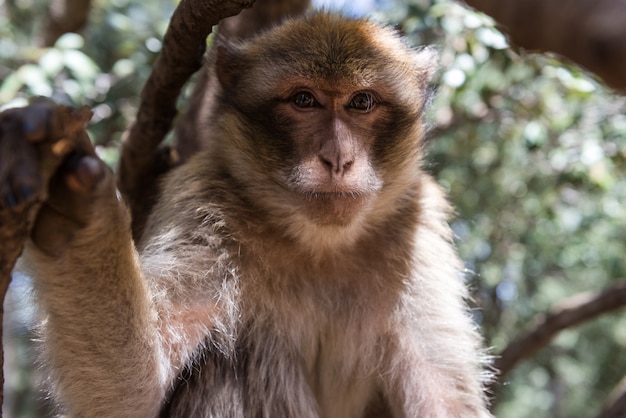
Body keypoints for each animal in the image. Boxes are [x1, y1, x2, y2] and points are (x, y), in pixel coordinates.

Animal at [13, 11, 492, 416]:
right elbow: (131, 391)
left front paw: (72, 209)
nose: (338, 159)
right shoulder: (203, 203)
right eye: (304, 99)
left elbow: (447, 399)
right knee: (232, 363)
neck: (320, 243)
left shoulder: (416, 223)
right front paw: (78, 214)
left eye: (361, 102)